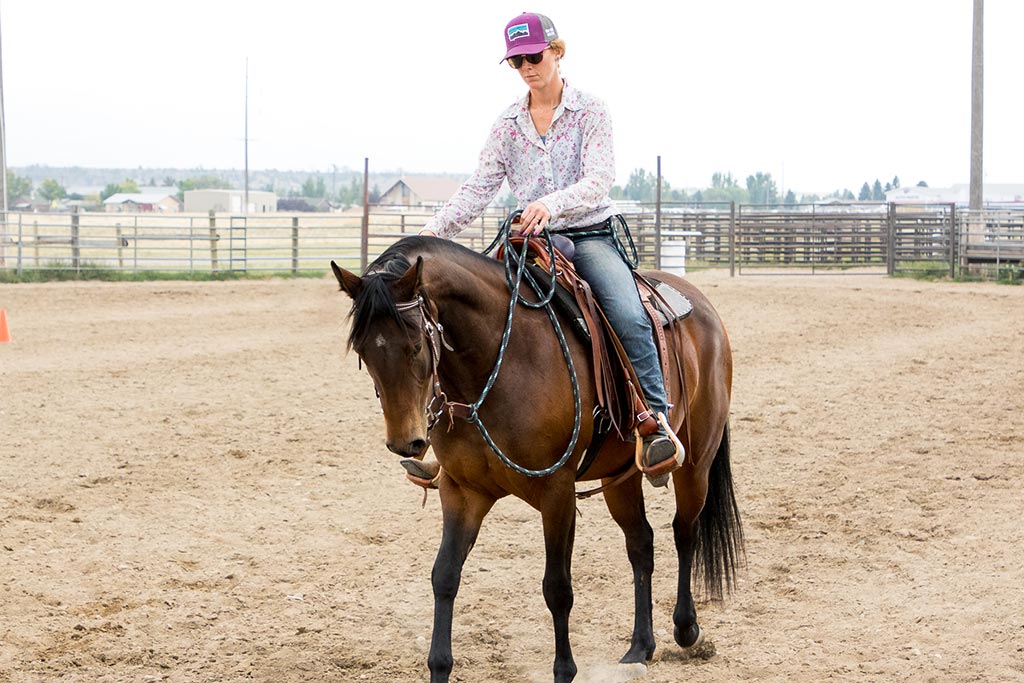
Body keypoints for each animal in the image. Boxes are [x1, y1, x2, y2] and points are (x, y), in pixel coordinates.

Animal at [335, 232, 745, 679]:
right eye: (363, 350)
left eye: (414, 345)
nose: (405, 442)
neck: (497, 363)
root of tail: (701, 303)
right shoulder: (462, 491)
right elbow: (444, 575)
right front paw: (439, 667)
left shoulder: (556, 493)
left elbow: (557, 587)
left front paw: (565, 670)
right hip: (619, 477)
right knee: (641, 543)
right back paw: (640, 646)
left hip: (696, 463)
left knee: (684, 531)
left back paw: (686, 628)